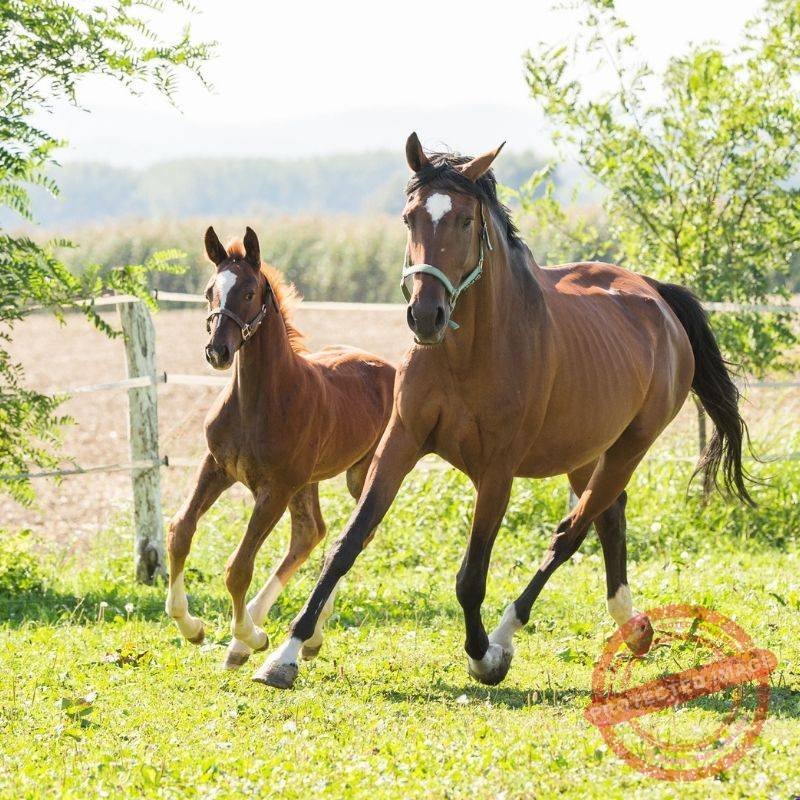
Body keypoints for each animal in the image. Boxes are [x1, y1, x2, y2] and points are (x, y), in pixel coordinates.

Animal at [165, 226, 395, 670]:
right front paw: (192, 627)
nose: (217, 351)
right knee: (311, 533)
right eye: (208, 291)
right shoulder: (215, 466)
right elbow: (180, 531)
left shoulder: (275, 489)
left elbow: (238, 567)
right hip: (308, 481)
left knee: (353, 536)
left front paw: (250, 636)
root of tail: (392, 368)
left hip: (359, 475)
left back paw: (296, 635)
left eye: (249, 291)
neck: (258, 400)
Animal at [253, 134, 753, 690]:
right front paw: (286, 654)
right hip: (585, 451)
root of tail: (657, 298)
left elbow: (471, 576)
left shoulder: (497, 470)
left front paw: (482, 656)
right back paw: (634, 627)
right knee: (608, 518)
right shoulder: (401, 441)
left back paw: (510, 635)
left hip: (630, 447)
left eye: (465, 221)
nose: (426, 316)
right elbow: (347, 544)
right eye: (409, 218)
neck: (466, 354)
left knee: (571, 532)